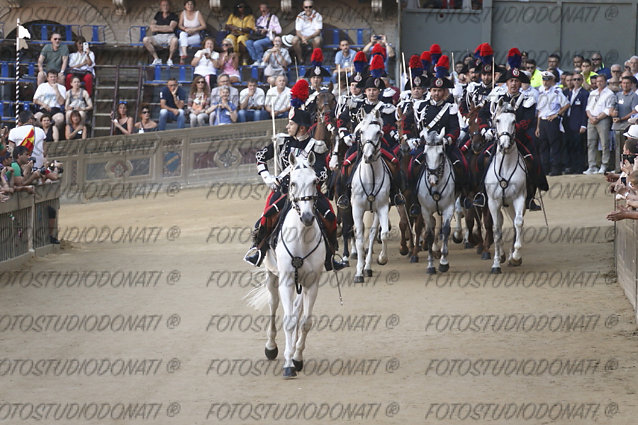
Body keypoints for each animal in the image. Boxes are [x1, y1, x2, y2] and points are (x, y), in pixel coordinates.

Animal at [245, 152, 324, 378]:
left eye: (314, 181)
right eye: (294, 182)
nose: (307, 217)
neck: (302, 236)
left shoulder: (312, 284)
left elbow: (305, 322)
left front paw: (297, 358)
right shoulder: (287, 281)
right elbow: (287, 321)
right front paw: (288, 364)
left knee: (297, 312)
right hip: (272, 277)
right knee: (273, 306)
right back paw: (271, 347)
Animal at [418, 126, 458, 274]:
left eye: (441, 153)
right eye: (425, 154)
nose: (432, 180)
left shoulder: (448, 207)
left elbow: (445, 229)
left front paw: (443, 262)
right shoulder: (425, 210)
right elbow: (429, 233)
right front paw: (430, 264)